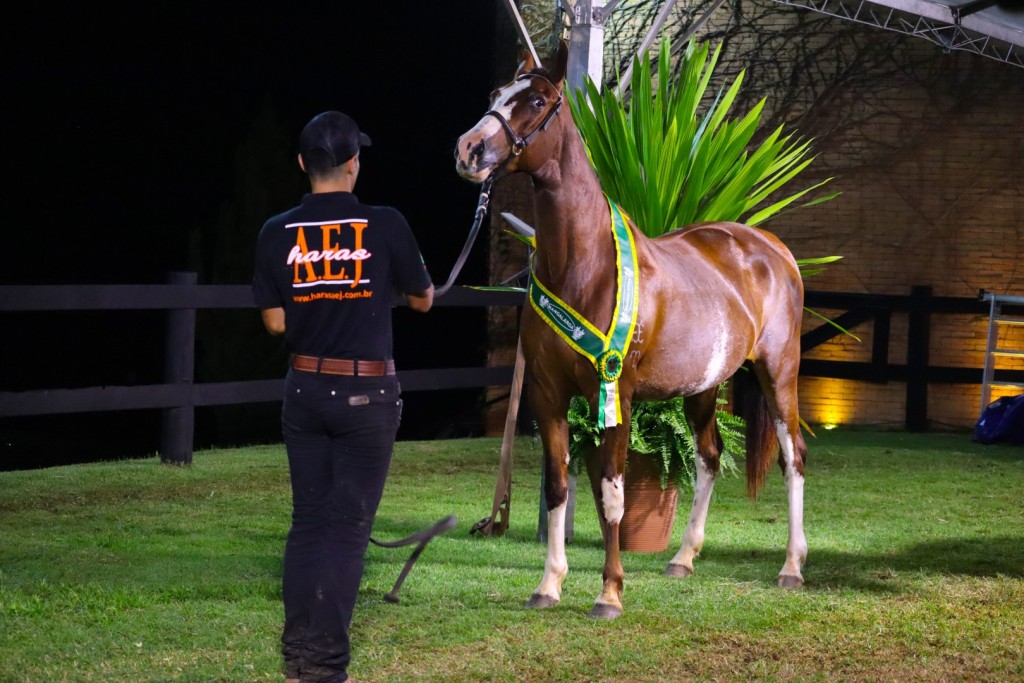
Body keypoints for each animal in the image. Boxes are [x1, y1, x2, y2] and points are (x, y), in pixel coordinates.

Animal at [454, 40, 808, 619]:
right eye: (495, 94)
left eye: (535, 101)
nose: (469, 149)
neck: (585, 265)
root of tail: (771, 248)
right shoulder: (546, 396)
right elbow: (559, 487)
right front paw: (549, 585)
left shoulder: (613, 394)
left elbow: (614, 494)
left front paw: (610, 593)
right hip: (703, 387)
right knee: (710, 458)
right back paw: (683, 558)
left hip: (779, 374)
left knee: (793, 457)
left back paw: (792, 568)